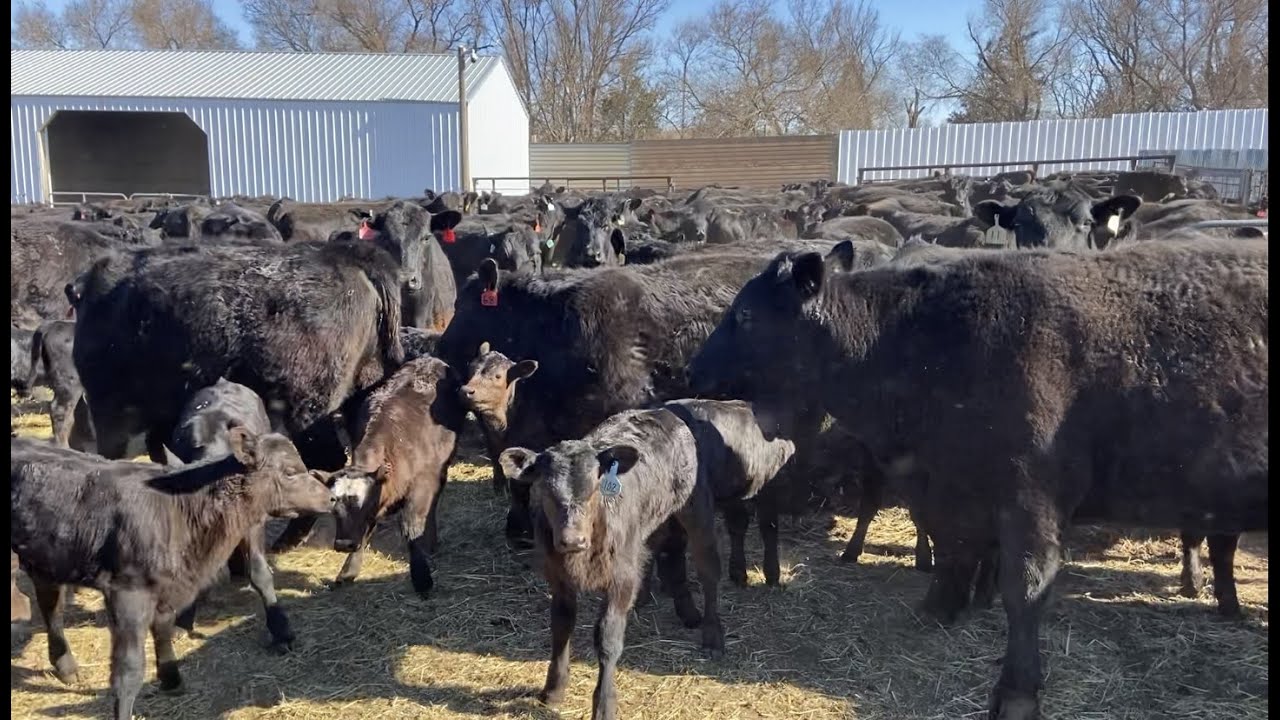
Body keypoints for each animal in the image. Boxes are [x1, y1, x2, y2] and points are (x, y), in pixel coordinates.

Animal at [11, 431, 334, 720]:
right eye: (290, 472)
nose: (330, 497)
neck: (181, 508)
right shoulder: (128, 593)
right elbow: (130, 668)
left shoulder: (168, 586)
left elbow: (164, 630)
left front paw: (171, 678)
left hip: (47, 558)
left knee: (50, 605)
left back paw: (65, 665)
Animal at [327, 356, 464, 596]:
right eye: (334, 507)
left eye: (364, 503)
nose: (343, 544)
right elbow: (365, 531)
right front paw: (347, 572)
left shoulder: (423, 485)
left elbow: (411, 527)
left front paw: (421, 577)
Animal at [687, 238, 1267, 719]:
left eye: (745, 314)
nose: (693, 369)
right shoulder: (951, 488)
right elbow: (954, 549)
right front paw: (939, 608)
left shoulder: (1030, 495)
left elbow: (1026, 586)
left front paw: (1017, 692)